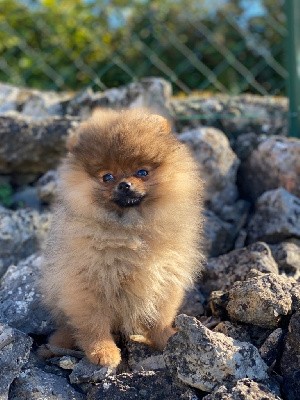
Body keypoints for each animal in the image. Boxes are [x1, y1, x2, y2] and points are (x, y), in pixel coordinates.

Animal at [40, 108, 204, 368]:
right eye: (107, 177)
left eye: (142, 172)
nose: (125, 184)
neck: (130, 230)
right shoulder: (88, 282)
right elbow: (94, 325)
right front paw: (103, 351)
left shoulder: (165, 278)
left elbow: (159, 317)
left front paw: (167, 338)